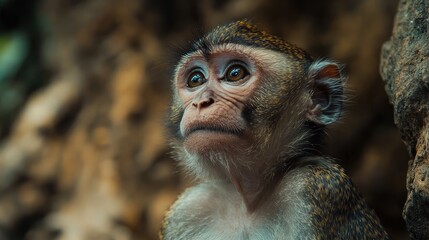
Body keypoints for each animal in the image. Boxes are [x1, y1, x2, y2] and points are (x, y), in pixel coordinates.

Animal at [160, 19, 388, 239]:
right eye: (196, 79)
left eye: (235, 73)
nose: (201, 102)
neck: (248, 202)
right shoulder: (186, 211)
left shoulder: (315, 188)